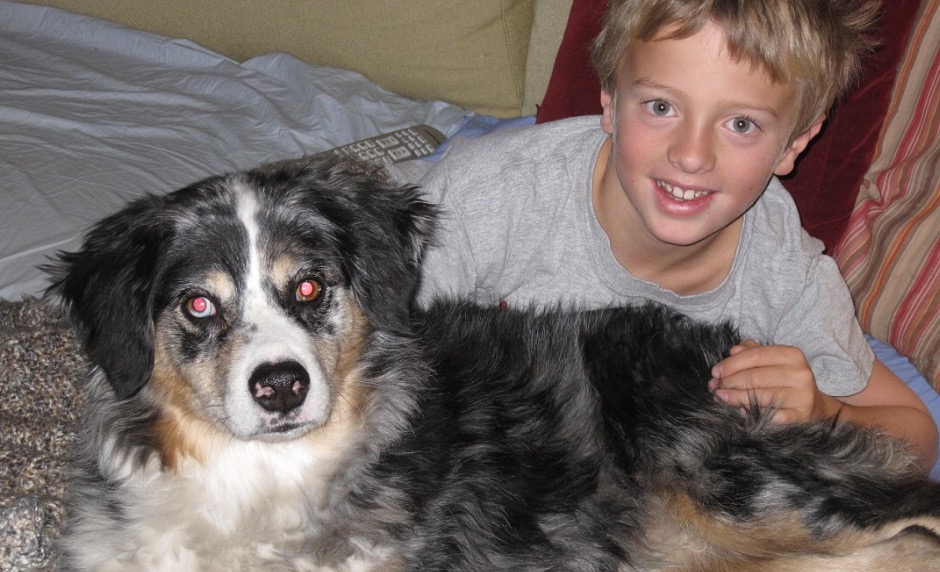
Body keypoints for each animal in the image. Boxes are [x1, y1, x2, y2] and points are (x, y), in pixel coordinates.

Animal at [47, 155, 940, 571]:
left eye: (309, 285)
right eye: (199, 305)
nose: (280, 387)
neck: (259, 480)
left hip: (739, 488)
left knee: (912, 531)